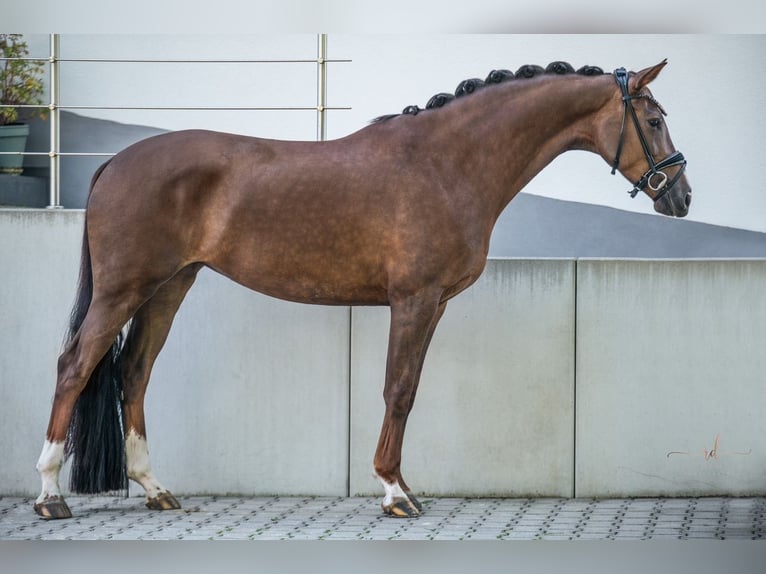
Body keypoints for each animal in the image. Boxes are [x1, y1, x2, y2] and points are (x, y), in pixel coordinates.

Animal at [33, 59, 688, 520]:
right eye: (654, 121)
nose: (681, 197)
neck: (445, 163)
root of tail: (114, 162)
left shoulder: (432, 306)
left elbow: (409, 389)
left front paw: (402, 484)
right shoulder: (414, 300)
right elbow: (397, 390)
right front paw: (395, 492)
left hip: (169, 287)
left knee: (134, 372)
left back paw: (155, 489)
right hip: (122, 290)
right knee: (74, 366)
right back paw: (49, 494)